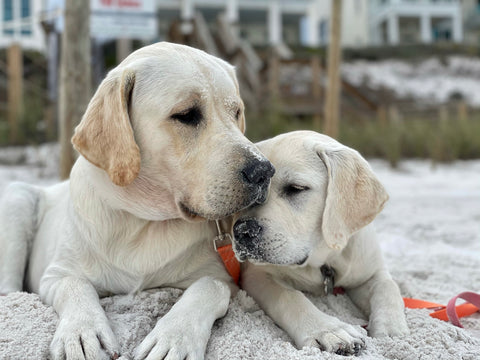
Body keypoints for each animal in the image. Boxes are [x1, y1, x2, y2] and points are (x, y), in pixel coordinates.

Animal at [0, 43, 274, 360]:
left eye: (236, 112)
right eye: (186, 114)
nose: (264, 171)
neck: (143, 221)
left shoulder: (223, 278)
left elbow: (209, 287)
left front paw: (174, 337)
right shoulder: (55, 274)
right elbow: (75, 285)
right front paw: (81, 332)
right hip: (17, 197)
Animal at [232, 131, 408, 354]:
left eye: (296, 188)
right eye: (250, 194)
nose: (242, 231)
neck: (325, 258)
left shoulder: (372, 272)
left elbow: (388, 287)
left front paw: (392, 329)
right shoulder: (257, 274)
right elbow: (290, 296)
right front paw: (329, 331)